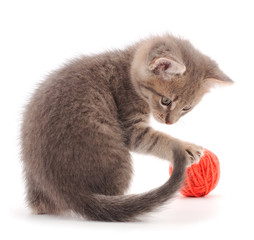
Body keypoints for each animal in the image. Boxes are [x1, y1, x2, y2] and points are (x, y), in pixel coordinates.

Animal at [20, 34, 233, 222]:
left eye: (187, 108)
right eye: (166, 101)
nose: (170, 123)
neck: (128, 69)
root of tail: (64, 188)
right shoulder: (131, 127)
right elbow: (158, 139)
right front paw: (186, 147)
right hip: (120, 160)